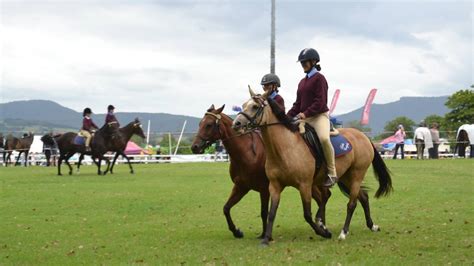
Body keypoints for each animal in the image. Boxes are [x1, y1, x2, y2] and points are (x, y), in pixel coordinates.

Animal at [233, 88, 392, 245]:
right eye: (243, 105)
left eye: (255, 106)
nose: (236, 124)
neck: (285, 148)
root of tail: (364, 136)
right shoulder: (275, 185)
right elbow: (272, 212)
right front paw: (266, 238)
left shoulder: (304, 185)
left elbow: (307, 214)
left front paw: (324, 233)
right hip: (346, 177)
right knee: (363, 197)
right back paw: (372, 225)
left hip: (357, 175)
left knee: (351, 204)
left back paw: (343, 232)